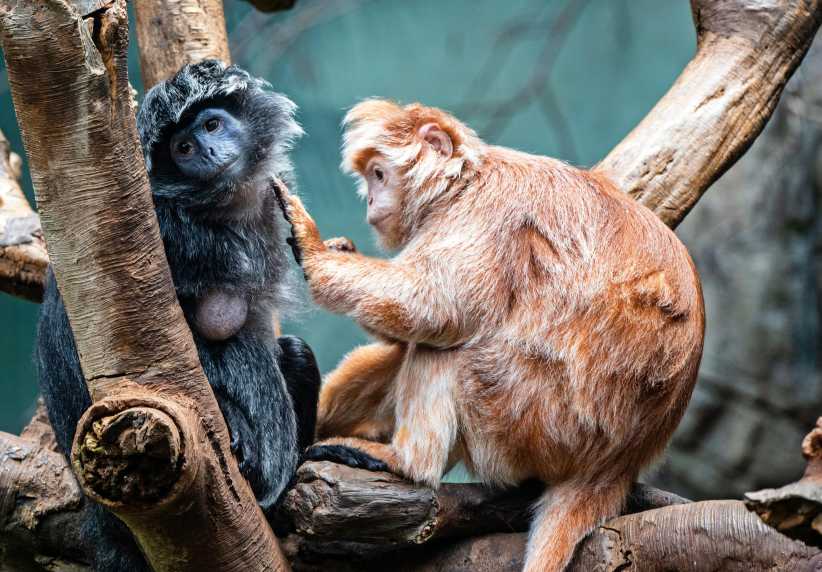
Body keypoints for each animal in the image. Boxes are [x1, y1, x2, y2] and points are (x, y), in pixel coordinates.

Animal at [275, 99, 705, 572]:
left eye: (379, 175)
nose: (370, 198)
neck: (465, 183)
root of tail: (617, 462)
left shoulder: (485, 213)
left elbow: (435, 308)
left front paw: (313, 250)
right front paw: (339, 251)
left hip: (532, 419)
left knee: (446, 349)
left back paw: (405, 462)